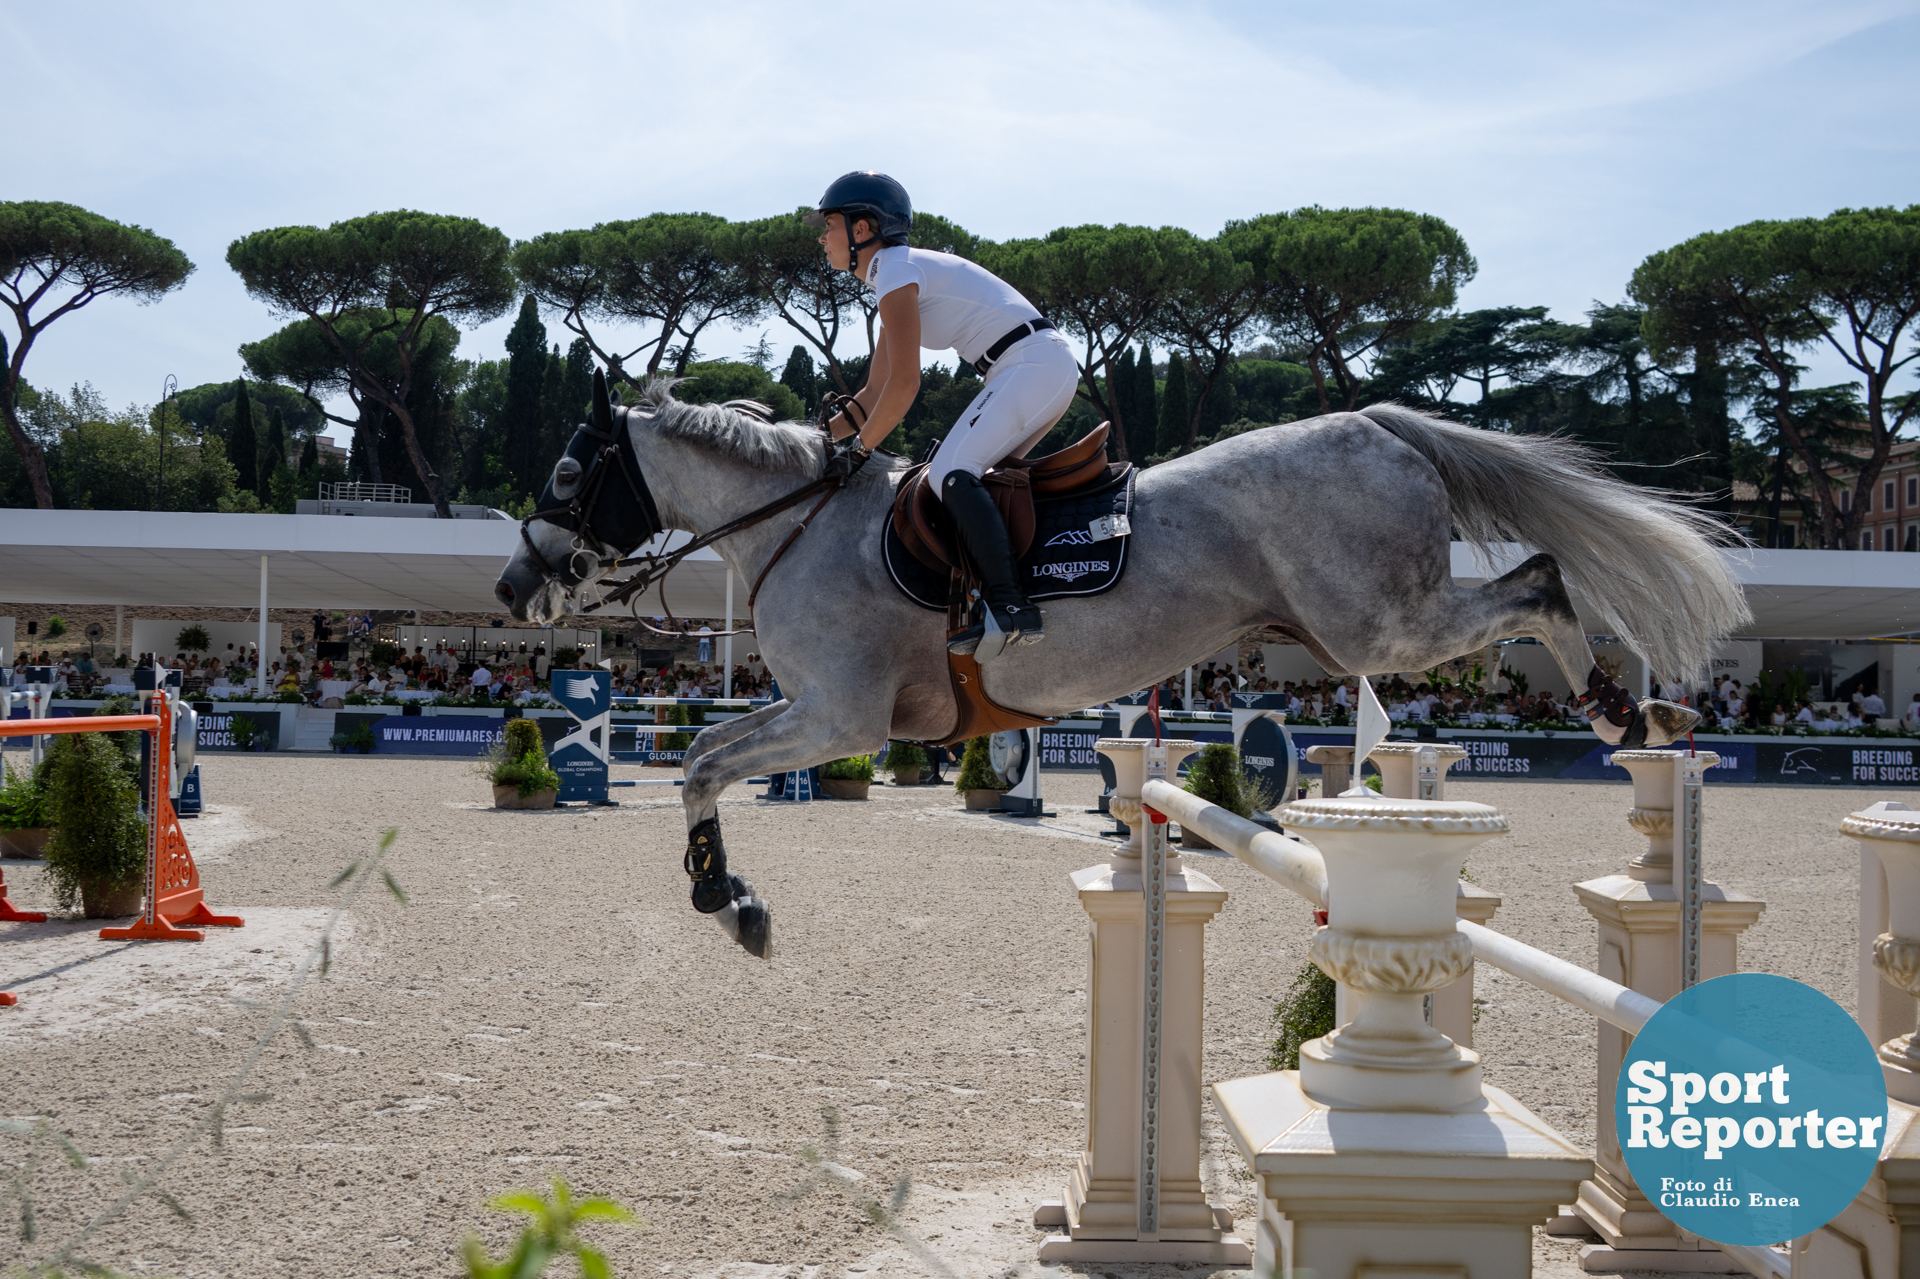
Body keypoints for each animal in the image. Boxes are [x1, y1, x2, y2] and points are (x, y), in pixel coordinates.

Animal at [491, 380, 1743, 956]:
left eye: (569, 474)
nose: (512, 588)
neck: (798, 522)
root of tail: (1380, 424)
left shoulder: (840, 712)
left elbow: (707, 760)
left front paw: (728, 898)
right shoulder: (814, 711)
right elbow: (705, 749)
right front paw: (727, 891)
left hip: (1386, 629)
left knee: (1540, 579)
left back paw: (1622, 713)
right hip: (1372, 628)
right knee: (1537, 574)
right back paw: (1632, 713)